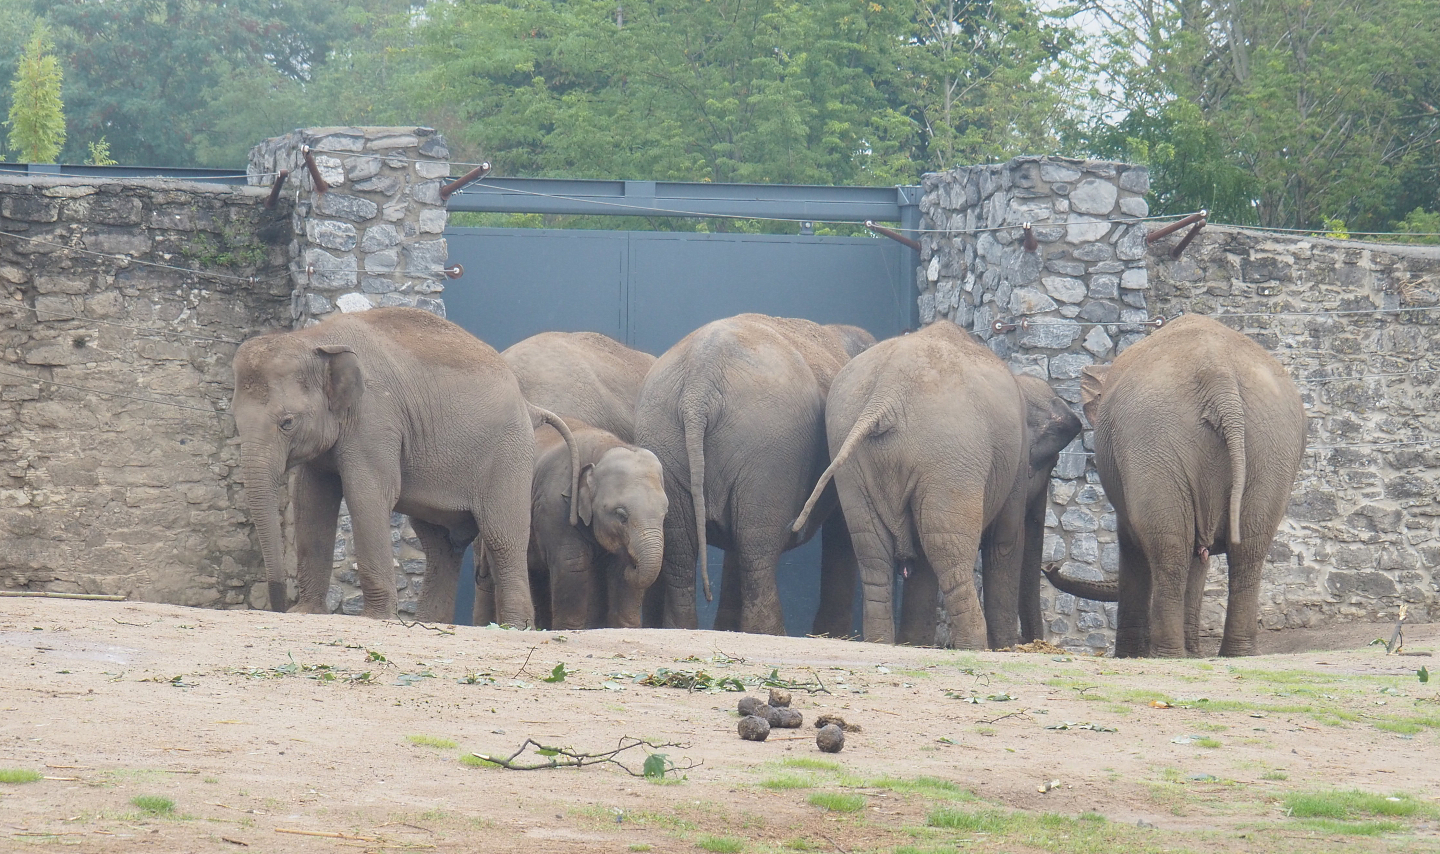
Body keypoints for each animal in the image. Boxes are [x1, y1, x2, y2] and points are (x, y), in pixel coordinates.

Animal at [231, 307, 577, 625]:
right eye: (235, 420)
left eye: (287, 422)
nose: (278, 607)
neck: (315, 338)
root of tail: (529, 406)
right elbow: (311, 501)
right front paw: (306, 612)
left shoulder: (376, 417)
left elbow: (367, 494)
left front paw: (376, 618)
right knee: (440, 544)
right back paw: (430, 623)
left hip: (510, 454)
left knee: (501, 537)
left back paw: (514, 627)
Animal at [473, 418, 667, 630]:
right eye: (621, 514)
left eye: (665, 513)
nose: (633, 567)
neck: (604, 449)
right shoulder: (555, 506)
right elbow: (571, 565)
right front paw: (569, 629)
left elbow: (620, 572)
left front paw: (625, 628)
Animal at [633, 314, 874, 635]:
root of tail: (700, 383)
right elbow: (841, 531)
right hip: (768, 449)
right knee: (755, 546)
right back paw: (770, 634)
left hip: (661, 434)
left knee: (685, 548)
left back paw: (684, 628)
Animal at [792, 321, 1081, 649]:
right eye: (1051, 462)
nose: (1032, 643)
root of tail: (886, 396)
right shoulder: (1015, 463)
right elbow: (1004, 542)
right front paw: (1007, 648)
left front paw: (913, 643)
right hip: (949, 455)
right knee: (948, 549)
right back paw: (974, 648)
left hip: (854, 457)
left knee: (874, 550)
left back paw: (884, 643)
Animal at [1044, 313, 1306, 657]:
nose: (1051, 567)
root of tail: (1218, 375)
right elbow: (1198, 553)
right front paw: (1191, 653)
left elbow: (1133, 544)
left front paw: (1131, 655)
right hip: (1269, 442)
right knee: (1245, 548)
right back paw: (1232, 653)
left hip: (1154, 439)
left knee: (1169, 549)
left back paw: (1167, 655)